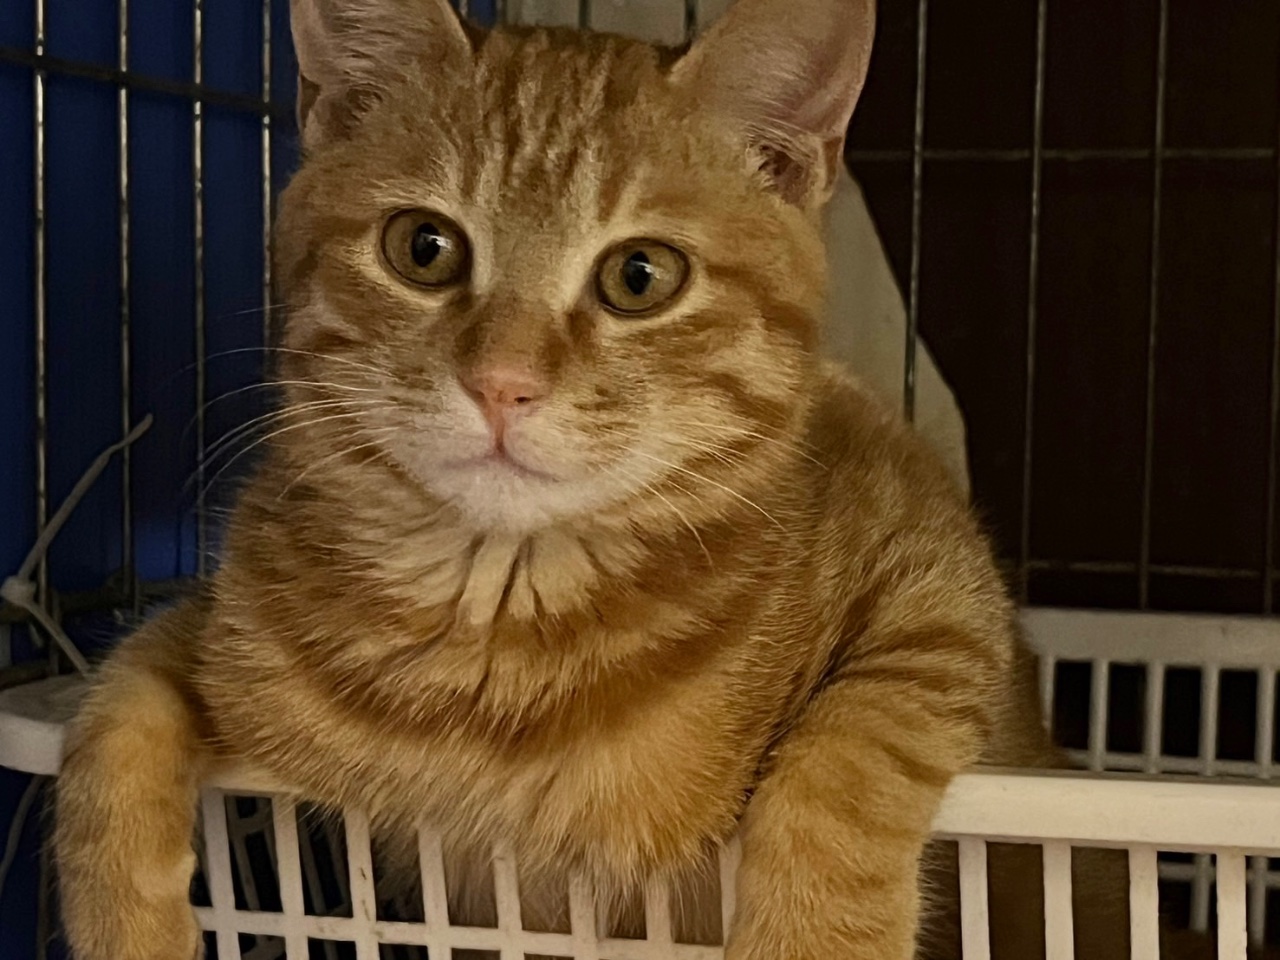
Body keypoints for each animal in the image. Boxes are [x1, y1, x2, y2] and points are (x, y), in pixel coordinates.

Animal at [51, 1, 1160, 958]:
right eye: (422, 248)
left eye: (640, 277)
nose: (502, 383)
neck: (497, 630)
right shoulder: (216, 628)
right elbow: (110, 713)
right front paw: (126, 929)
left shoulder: (937, 579)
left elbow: (852, 752)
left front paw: (812, 939)